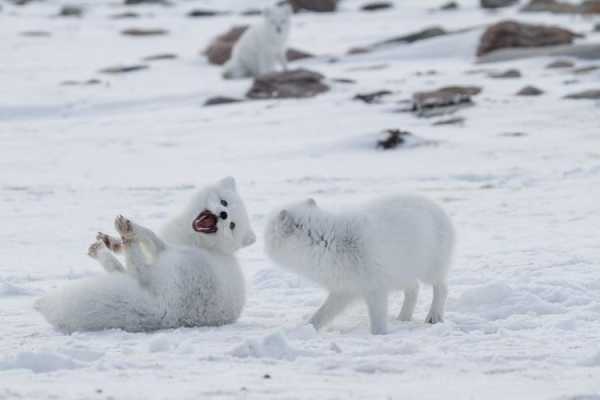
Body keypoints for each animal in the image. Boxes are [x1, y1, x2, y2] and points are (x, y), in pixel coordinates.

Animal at [35, 177, 255, 332]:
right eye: (224, 202)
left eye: (232, 225)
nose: (224, 215)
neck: (198, 241)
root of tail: (167, 313)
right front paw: (113, 242)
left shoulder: (164, 247)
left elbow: (150, 235)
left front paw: (130, 231)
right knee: (126, 272)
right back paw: (105, 247)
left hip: (175, 262)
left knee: (137, 270)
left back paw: (124, 235)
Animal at [264, 196, 452, 334]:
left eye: (269, 231)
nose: (263, 244)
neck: (327, 243)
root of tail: (438, 208)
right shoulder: (343, 290)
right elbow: (322, 314)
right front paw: (305, 329)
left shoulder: (375, 288)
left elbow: (377, 319)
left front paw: (380, 335)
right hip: (401, 274)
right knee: (414, 289)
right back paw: (403, 317)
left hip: (430, 270)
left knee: (441, 288)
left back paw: (434, 316)